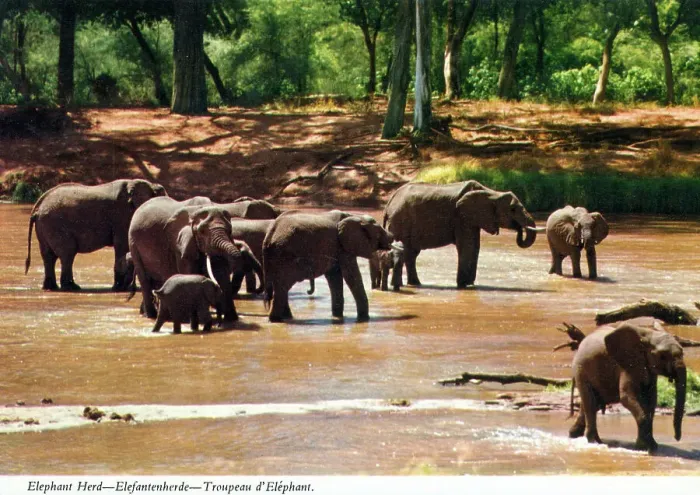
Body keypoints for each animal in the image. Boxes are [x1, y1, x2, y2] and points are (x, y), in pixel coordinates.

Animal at [25, 179, 167, 291]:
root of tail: (37, 208)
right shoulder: (122, 217)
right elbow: (122, 245)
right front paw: (120, 288)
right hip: (56, 226)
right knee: (67, 254)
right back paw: (72, 288)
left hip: (45, 227)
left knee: (49, 256)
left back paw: (51, 287)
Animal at [128, 196, 263, 322]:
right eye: (202, 232)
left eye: (229, 230)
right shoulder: (180, 244)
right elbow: (190, 273)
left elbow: (220, 273)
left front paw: (231, 320)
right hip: (133, 244)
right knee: (144, 279)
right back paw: (151, 315)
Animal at [262, 212, 393, 322]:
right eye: (379, 231)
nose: (391, 236)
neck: (355, 216)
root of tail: (269, 235)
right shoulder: (343, 248)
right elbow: (351, 276)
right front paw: (364, 319)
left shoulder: (336, 248)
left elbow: (334, 277)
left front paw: (337, 316)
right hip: (284, 256)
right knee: (282, 287)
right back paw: (276, 320)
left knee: (281, 287)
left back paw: (286, 317)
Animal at [382, 180, 541, 288]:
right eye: (513, 209)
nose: (519, 229)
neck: (492, 193)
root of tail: (388, 204)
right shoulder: (462, 216)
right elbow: (467, 245)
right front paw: (464, 285)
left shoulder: (472, 218)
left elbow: (475, 246)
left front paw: (469, 284)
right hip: (400, 221)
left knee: (411, 253)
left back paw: (415, 284)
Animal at [569, 323, 686, 452]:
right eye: (663, 356)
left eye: (683, 353)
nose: (676, 437)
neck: (648, 335)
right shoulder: (628, 366)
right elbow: (626, 397)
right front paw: (646, 448)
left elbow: (651, 400)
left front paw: (648, 447)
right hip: (580, 370)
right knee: (590, 402)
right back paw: (594, 443)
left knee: (592, 404)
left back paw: (574, 436)